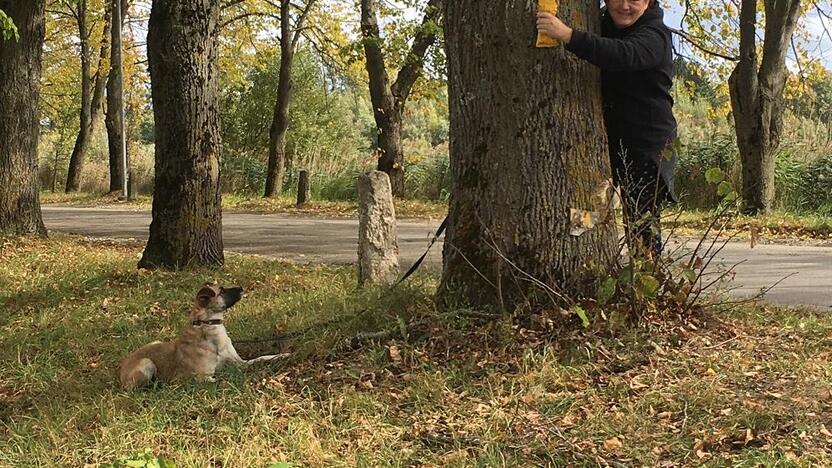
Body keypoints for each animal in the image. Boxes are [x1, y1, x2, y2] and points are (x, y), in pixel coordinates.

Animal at [119, 284, 282, 390]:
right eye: (221, 290)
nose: (241, 288)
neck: (209, 325)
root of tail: (121, 367)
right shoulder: (201, 377)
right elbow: (224, 377)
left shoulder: (240, 362)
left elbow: (262, 358)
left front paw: (281, 356)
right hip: (146, 363)